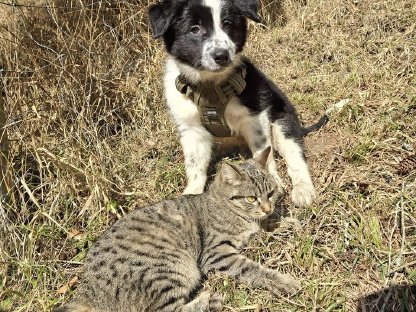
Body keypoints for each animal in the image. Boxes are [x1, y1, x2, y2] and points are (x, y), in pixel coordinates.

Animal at [57, 147, 300, 312]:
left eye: (270, 193)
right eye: (251, 198)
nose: (268, 207)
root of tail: (87, 290)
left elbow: (265, 227)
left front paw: (284, 222)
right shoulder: (217, 253)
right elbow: (252, 269)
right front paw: (284, 281)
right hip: (171, 268)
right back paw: (209, 300)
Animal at [148, 0, 326, 207]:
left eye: (227, 24)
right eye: (194, 29)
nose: (222, 55)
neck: (210, 85)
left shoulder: (256, 117)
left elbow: (263, 154)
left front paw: (270, 182)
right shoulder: (191, 128)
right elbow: (194, 166)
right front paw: (191, 194)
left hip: (283, 123)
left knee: (295, 157)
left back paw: (303, 190)